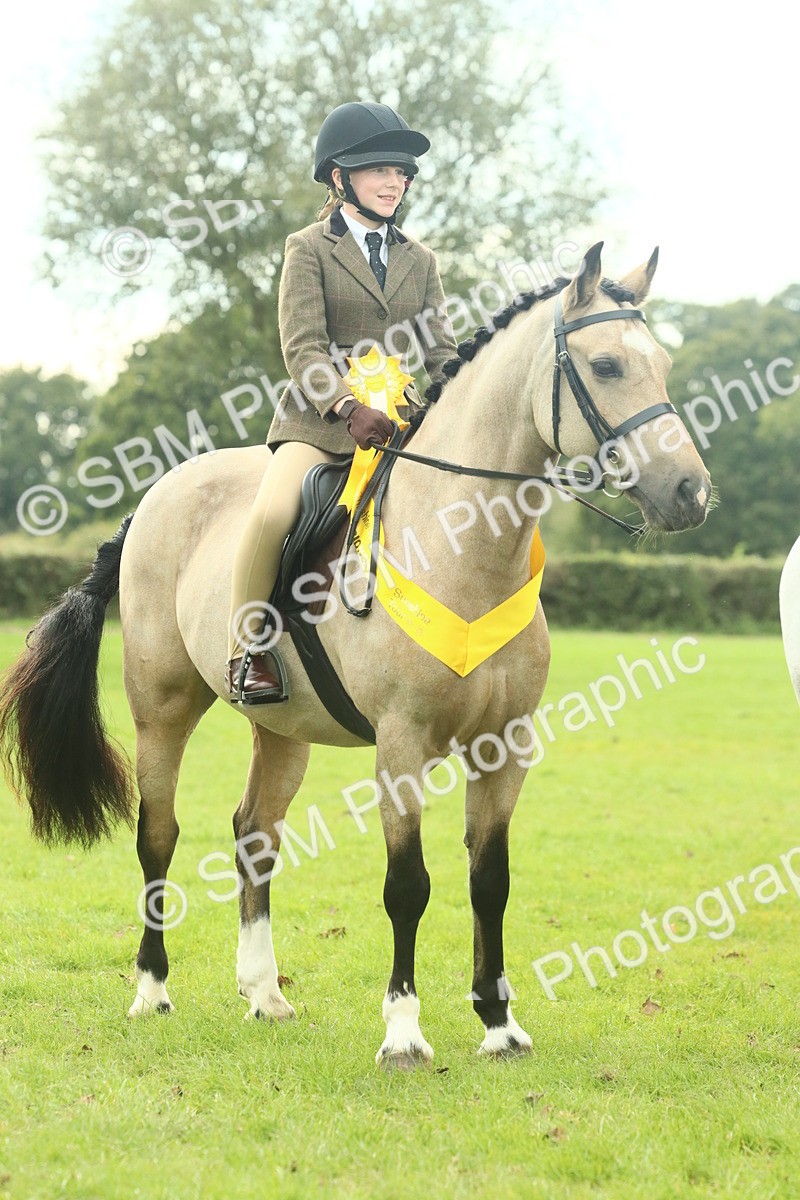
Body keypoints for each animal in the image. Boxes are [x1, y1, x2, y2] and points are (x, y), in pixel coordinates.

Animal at [0, 242, 711, 1069]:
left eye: (662, 362)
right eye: (605, 365)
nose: (690, 493)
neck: (464, 543)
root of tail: (153, 498)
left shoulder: (506, 745)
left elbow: (490, 878)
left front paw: (499, 1024)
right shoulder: (401, 743)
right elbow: (408, 884)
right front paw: (403, 1032)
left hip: (281, 730)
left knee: (254, 834)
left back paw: (265, 994)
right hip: (162, 709)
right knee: (160, 834)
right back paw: (152, 989)